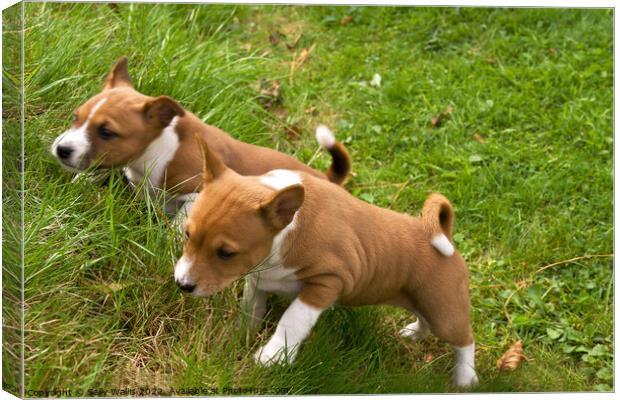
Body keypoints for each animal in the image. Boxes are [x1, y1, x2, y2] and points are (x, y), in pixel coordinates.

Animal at [50, 55, 352, 216]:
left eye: (107, 132)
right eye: (76, 117)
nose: (62, 150)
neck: (160, 150)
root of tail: (327, 178)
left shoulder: (197, 191)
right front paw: (81, 183)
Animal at [174, 130, 480, 386]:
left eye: (226, 253)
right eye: (187, 234)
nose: (182, 284)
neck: (286, 235)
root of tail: (443, 234)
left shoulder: (327, 282)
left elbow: (292, 320)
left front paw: (272, 356)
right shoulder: (258, 278)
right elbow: (251, 308)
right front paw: (241, 336)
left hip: (444, 310)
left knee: (465, 340)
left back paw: (465, 379)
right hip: (421, 300)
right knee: (424, 319)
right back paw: (414, 333)